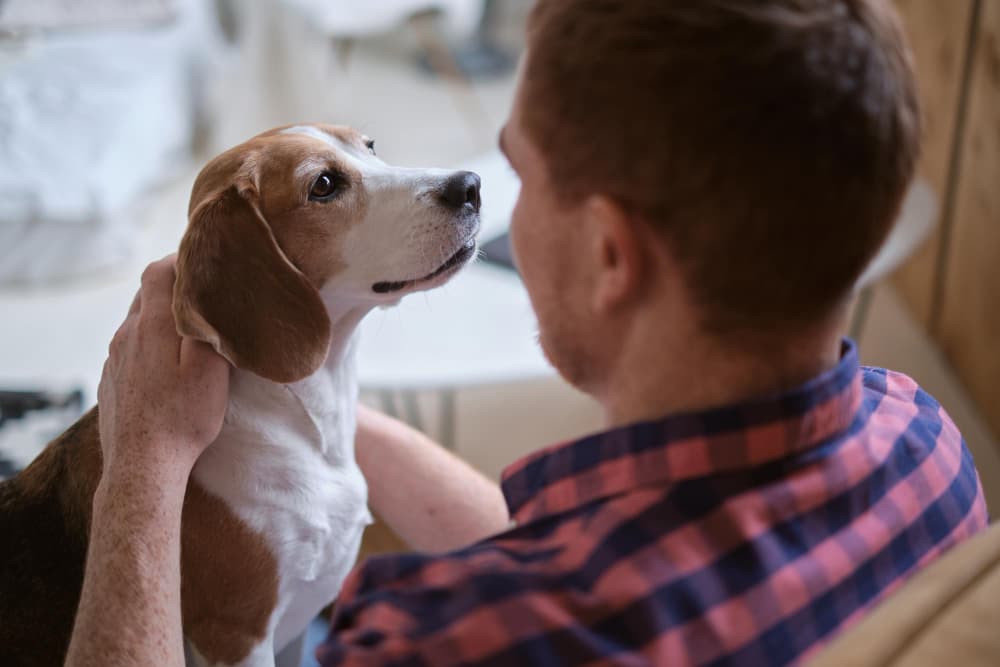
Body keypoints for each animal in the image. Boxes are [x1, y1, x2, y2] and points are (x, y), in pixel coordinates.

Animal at [0, 122, 484, 664]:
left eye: (370, 147)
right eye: (323, 185)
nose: (470, 185)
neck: (306, 425)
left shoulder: (295, 629)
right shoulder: (239, 635)